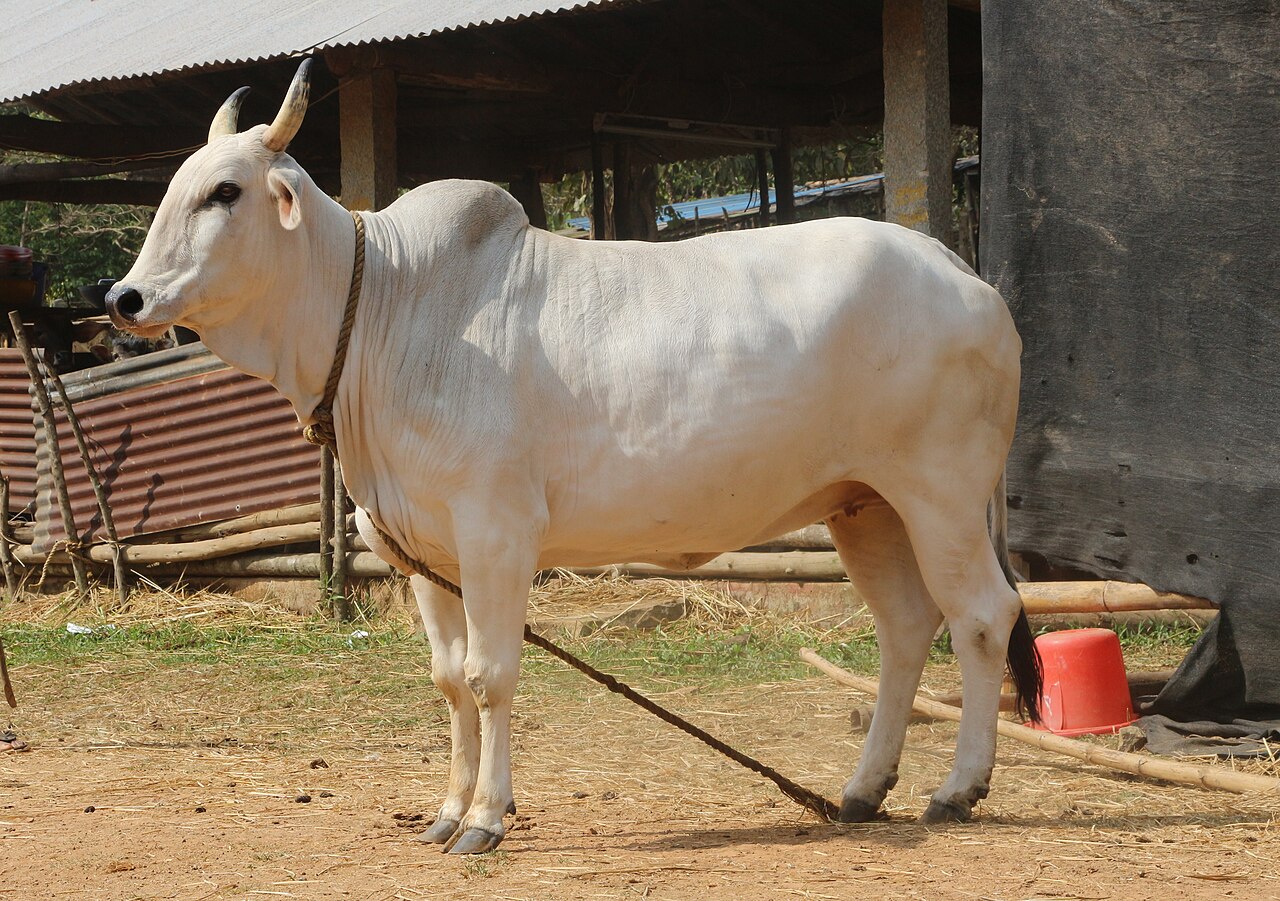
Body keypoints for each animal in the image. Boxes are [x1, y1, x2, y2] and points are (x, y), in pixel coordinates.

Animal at [108, 60, 1041, 855]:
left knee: (981, 616)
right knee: (905, 628)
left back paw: (957, 788)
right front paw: (446, 811)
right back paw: (862, 788)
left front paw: (486, 818)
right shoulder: (420, 550)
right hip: (864, 503)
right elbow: (449, 680)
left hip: (941, 494)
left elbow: (490, 674)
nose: (125, 297)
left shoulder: (496, 532)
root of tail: (957, 267)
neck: (385, 306)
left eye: (225, 192)